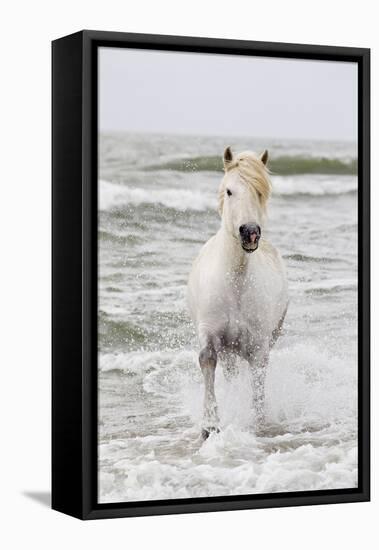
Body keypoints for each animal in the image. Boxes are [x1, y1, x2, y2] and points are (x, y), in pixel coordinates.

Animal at [187, 147, 288, 440]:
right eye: (230, 191)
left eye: (260, 192)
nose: (250, 233)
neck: (235, 283)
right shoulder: (209, 334)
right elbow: (207, 361)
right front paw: (210, 426)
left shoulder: (259, 344)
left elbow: (258, 377)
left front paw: (258, 423)